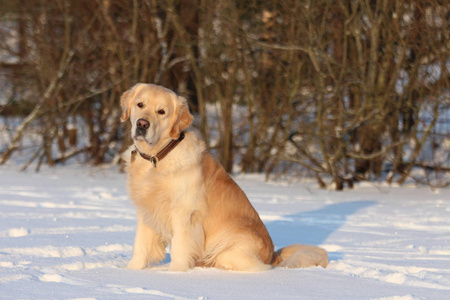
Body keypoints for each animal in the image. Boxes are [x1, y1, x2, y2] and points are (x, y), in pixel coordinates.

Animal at [120, 83, 326, 270]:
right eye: (140, 104)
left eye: (161, 111)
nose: (142, 124)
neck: (157, 156)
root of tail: (273, 255)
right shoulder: (147, 211)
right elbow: (141, 246)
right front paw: (132, 270)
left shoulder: (184, 213)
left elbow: (180, 248)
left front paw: (175, 273)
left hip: (227, 249)